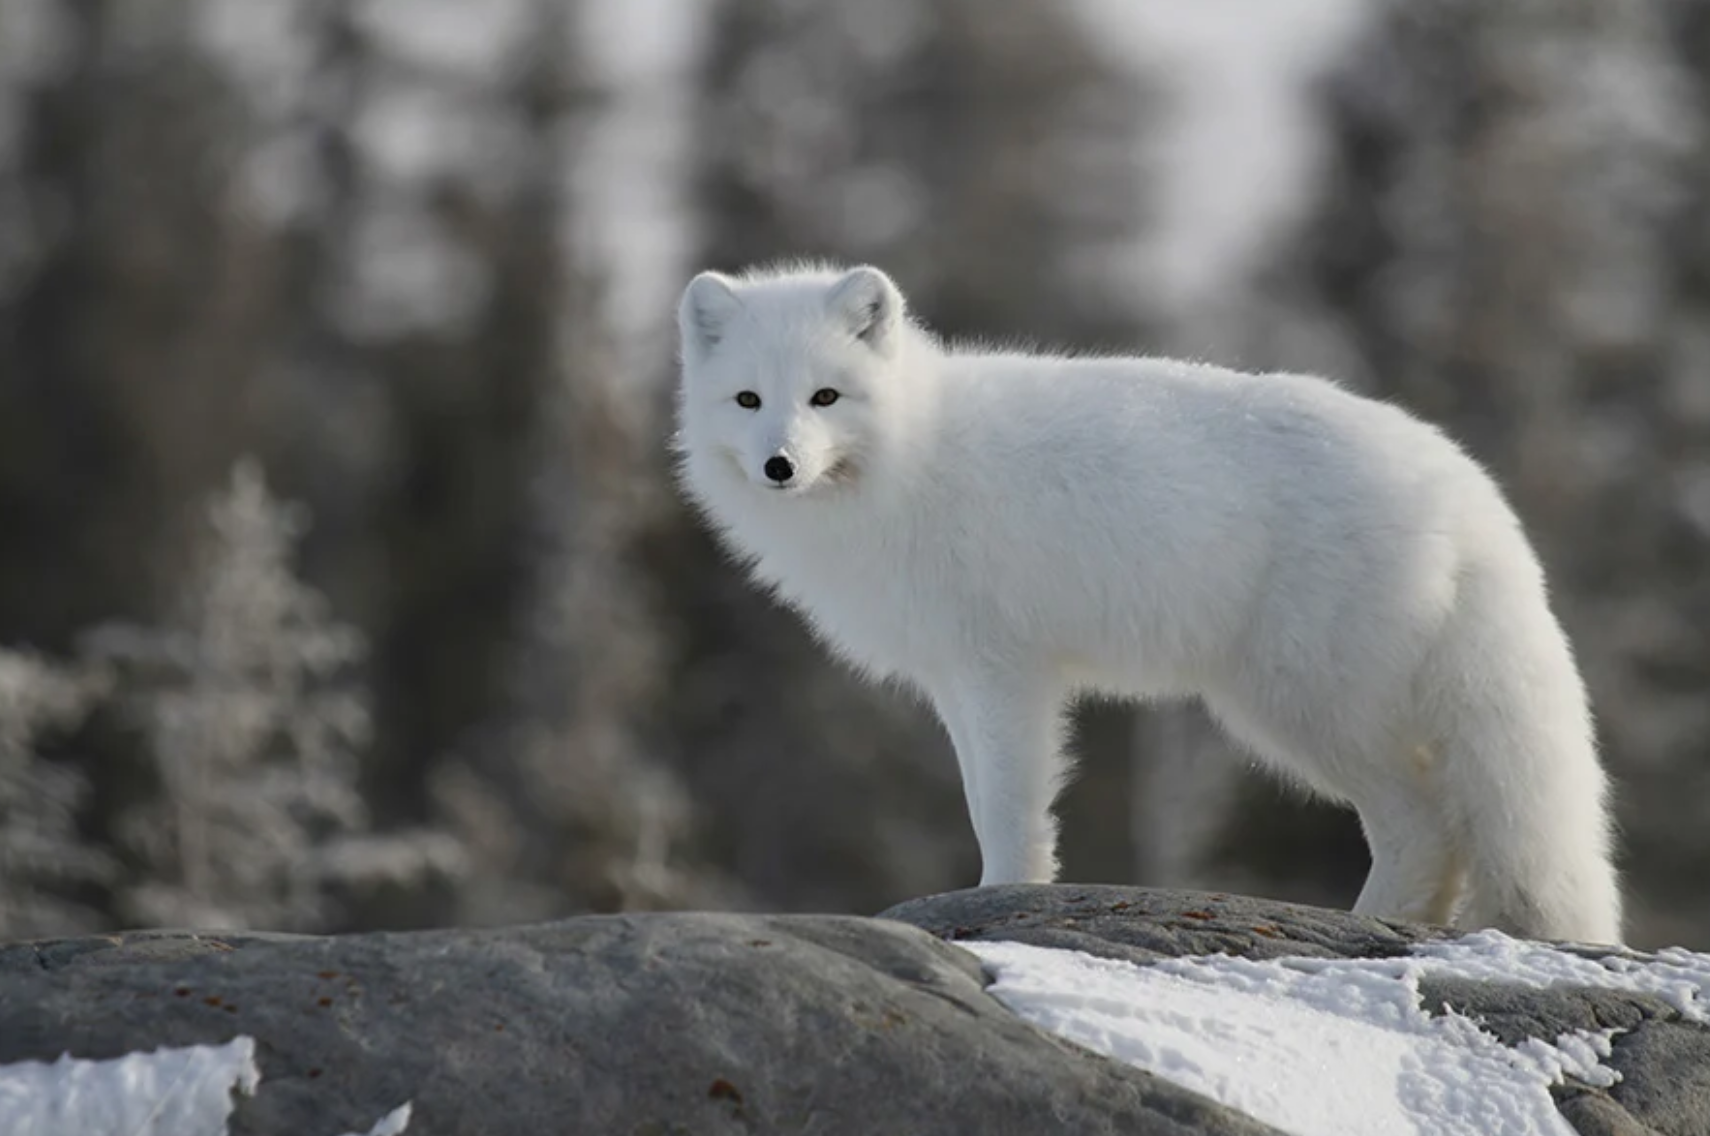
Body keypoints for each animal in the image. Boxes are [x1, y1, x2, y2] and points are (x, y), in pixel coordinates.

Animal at [673, 261, 1623, 945]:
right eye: (748, 400)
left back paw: (1362, 928)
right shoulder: (955, 678)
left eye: (826, 397)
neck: (913, 458)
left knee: (1424, 826)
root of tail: (1468, 489)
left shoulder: (1004, 671)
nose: (780, 465)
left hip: (1300, 706)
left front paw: (999, 901)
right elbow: (984, 795)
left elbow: (1006, 809)